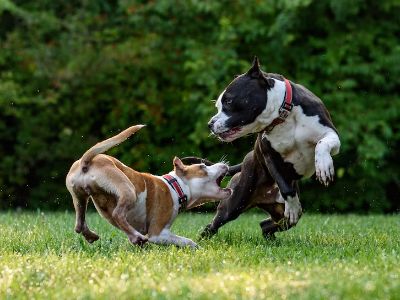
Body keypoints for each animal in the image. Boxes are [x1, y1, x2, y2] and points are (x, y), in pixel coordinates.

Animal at [66, 124, 231, 248]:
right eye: (203, 167)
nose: (224, 164)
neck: (176, 186)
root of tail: (86, 161)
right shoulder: (158, 234)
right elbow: (186, 241)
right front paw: (197, 248)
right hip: (128, 189)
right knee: (117, 214)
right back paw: (136, 237)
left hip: (79, 197)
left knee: (79, 224)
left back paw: (94, 236)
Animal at [183, 56, 340, 239]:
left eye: (228, 100)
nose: (210, 124)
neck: (283, 116)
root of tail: (246, 160)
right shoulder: (269, 156)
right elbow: (285, 187)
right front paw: (293, 206)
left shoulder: (330, 133)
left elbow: (322, 144)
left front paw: (323, 166)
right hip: (234, 203)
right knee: (214, 224)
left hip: (279, 213)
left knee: (267, 224)